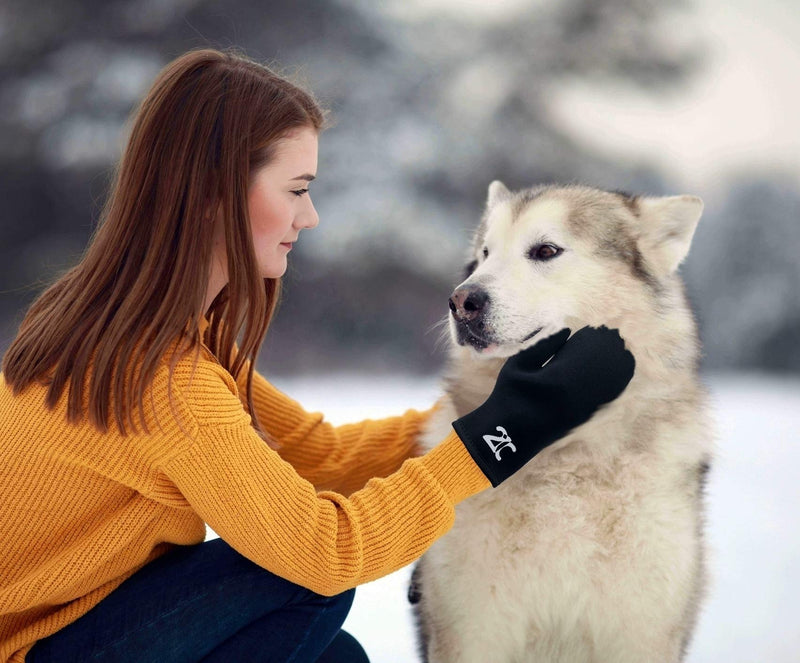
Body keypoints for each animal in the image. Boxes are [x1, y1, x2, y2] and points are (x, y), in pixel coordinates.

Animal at [412, 182, 712, 663]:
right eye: (484, 254)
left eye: (546, 251)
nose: (461, 301)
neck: (567, 457)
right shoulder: (472, 631)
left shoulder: (641, 630)